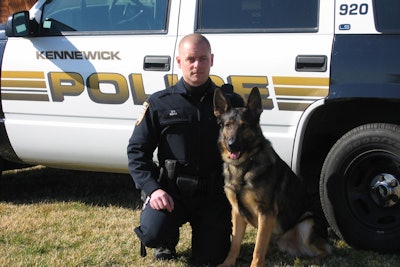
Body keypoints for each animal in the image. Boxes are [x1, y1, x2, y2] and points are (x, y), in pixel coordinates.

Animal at [214, 87, 332, 266]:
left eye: (244, 126)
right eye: (227, 125)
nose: (231, 145)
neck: (244, 165)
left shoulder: (266, 212)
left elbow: (258, 247)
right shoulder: (237, 212)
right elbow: (234, 244)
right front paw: (228, 263)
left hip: (306, 224)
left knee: (326, 250)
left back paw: (314, 260)